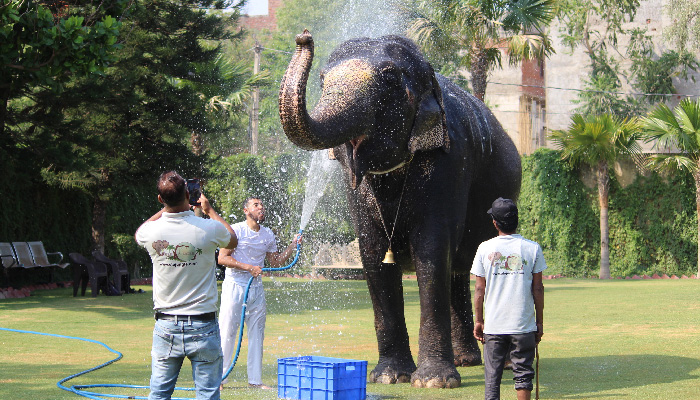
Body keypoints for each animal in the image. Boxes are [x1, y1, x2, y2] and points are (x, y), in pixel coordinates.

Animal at [278, 30, 520, 388]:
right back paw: (466, 360)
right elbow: (372, 254)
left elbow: (431, 251)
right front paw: (389, 377)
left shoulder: (450, 161)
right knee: (459, 272)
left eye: (390, 77)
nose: (304, 37)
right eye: (321, 80)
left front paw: (433, 381)